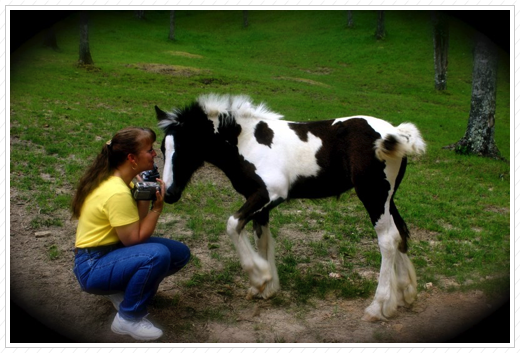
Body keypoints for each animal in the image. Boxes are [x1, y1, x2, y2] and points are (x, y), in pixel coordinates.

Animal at [155, 94, 426, 322]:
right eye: (162, 148)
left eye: (186, 146)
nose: (168, 193)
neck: (246, 141)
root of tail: (396, 133)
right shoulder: (260, 204)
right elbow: (262, 240)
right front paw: (266, 288)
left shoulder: (270, 194)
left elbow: (232, 224)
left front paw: (260, 276)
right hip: (387, 197)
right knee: (399, 232)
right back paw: (405, 294)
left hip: (373, 194)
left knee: (387, 240)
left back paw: (377, 307)